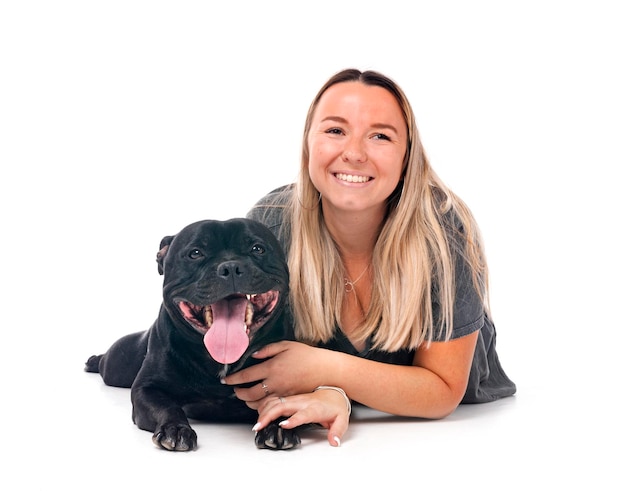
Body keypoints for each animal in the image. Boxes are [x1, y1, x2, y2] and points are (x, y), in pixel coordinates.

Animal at [85, 221, 300, 452]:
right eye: (195, 253)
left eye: (257, 249)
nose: (230, 267)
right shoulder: (147, 389)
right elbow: (167, 406)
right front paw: (175, 429)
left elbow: (280, 403)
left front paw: (277, 426)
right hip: (117, 364)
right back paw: (94, 361)